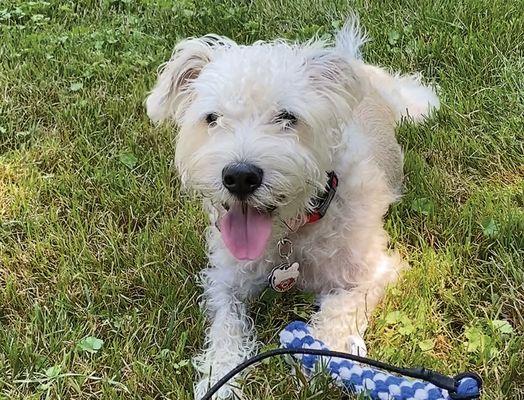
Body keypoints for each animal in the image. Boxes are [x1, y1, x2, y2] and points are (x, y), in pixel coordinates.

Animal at [145, 17, 440, 398]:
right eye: (212, 118)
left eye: (287, 117)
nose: (240, 177)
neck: (294, 231)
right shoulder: (224, 280)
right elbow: (225, 330)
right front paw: (220, 380)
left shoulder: (373, 272)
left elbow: (338, 312)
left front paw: (325, 358)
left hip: (405, 102)